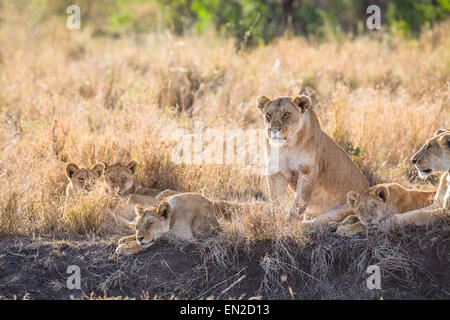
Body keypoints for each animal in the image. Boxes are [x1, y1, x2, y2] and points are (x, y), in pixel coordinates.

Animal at [116, 192, 250, 255]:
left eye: (149, 225)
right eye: (137, 227)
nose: (139, 238)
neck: (173, 214)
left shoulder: (184, 236)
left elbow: (157, 238)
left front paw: (125, 247)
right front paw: (125, 239)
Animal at [256, 94, 370, 225]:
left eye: (286, 114)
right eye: (268, 114)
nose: (273, 129)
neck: (287, 146)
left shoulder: (308, 171)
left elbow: (299, 203)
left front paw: (289, 225)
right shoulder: (275, 170)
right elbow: (276, 200)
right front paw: (275, 221)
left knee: (322, 221)